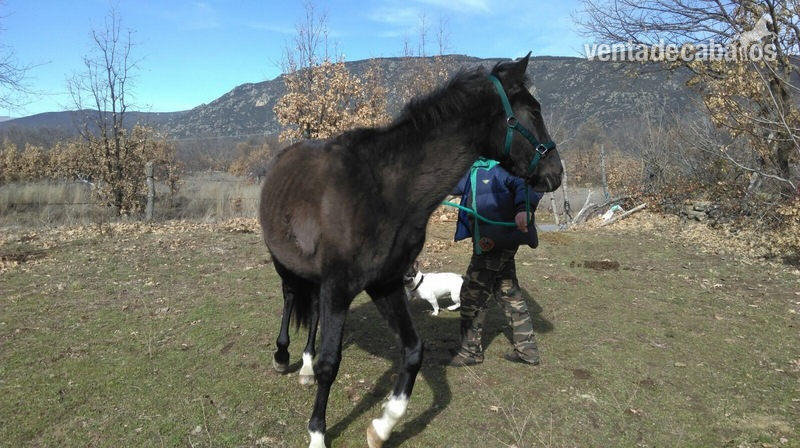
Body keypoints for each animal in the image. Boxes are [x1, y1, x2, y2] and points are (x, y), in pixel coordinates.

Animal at [259, 53, 563, 448]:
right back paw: (284, 357)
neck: (386, 189)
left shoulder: (384, 284)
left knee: (310, 312)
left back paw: (305, 366)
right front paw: (317, 434)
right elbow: (331, 364)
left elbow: (414, 351)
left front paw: (383, 425)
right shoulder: (339, 287)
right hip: (284, 263)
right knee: (290, 298)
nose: (556, 173)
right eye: (534, 112)